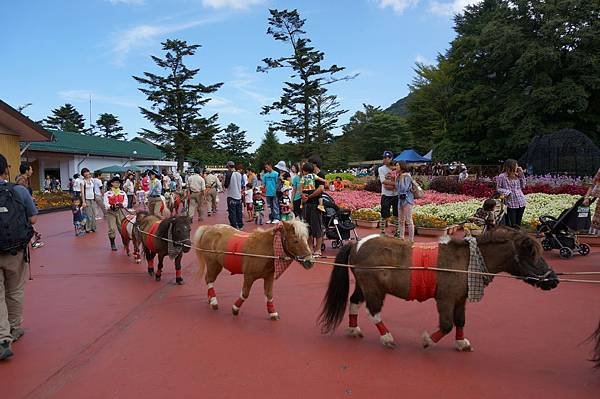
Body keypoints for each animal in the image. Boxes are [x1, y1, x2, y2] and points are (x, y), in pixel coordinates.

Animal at [318, 227, 556, 352]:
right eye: (531, 254)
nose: (553, 279)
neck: (467, 260)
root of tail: (356, 244)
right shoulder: (445, 299)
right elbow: (447, 324)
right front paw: (428, 340)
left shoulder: (460, 299)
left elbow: (460, 321)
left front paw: (461, 342)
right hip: (373, 288)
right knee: (373, 311)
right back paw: (387, 337)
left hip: (363, 284)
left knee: (354, 301)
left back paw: (354, 329)